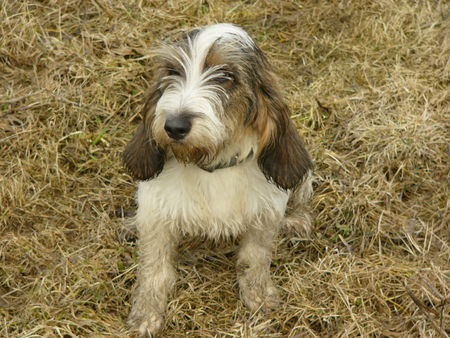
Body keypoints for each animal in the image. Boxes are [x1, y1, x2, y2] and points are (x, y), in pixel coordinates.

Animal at [122, 23, 312, 336]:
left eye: (225, 77)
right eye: (172, 71)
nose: (174, 126)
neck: (211, 164)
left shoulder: (265, 213)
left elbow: (255, 259)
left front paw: (259, 295)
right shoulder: (156, 215)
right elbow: (154, 269)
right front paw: (146, 313)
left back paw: (296, 221)